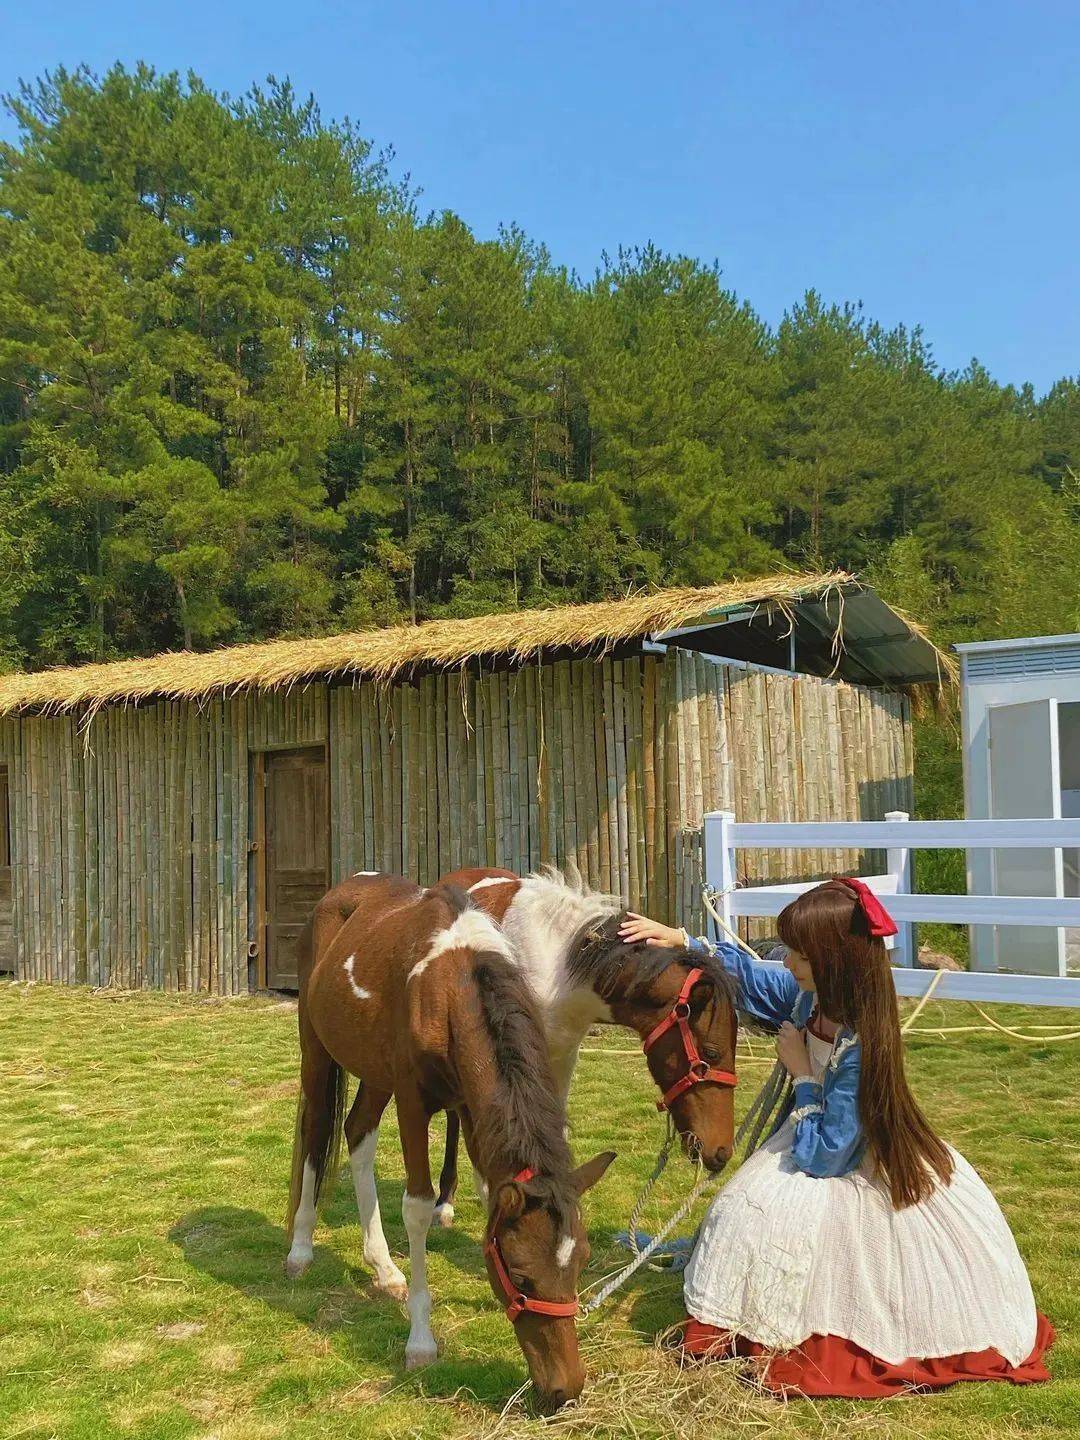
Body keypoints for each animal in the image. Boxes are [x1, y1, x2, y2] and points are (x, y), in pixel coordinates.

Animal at [285, 869, 616, 1411]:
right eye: (520, 1275)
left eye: (582, 1263)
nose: (564, 1389)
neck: (447, 984)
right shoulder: (414, 1103)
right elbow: (418, 1208)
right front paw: (421, 1341)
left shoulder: (469, 1105)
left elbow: (487, 1193)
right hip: (317, 1050)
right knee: (316, 1134)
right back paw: (301, 1249)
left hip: (375, 1072)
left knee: (357, 1134)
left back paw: (383, 1268)